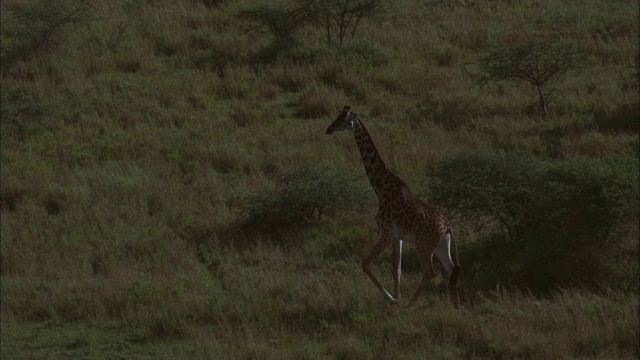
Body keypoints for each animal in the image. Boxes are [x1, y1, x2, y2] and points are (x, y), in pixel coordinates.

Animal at [324, 104, 460, 306]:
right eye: (337, 116)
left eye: (343, 120)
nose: (328, 129)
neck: (381, 186)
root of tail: (448, 227)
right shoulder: (398, 237)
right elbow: (397, 270)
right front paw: (395, 299)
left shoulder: (387, 232)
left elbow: (366, 264)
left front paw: (393, 300)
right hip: (442, 245)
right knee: (451, 270)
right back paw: (456, 307)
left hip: (424, 245)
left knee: (430, 272)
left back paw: (410, 306)